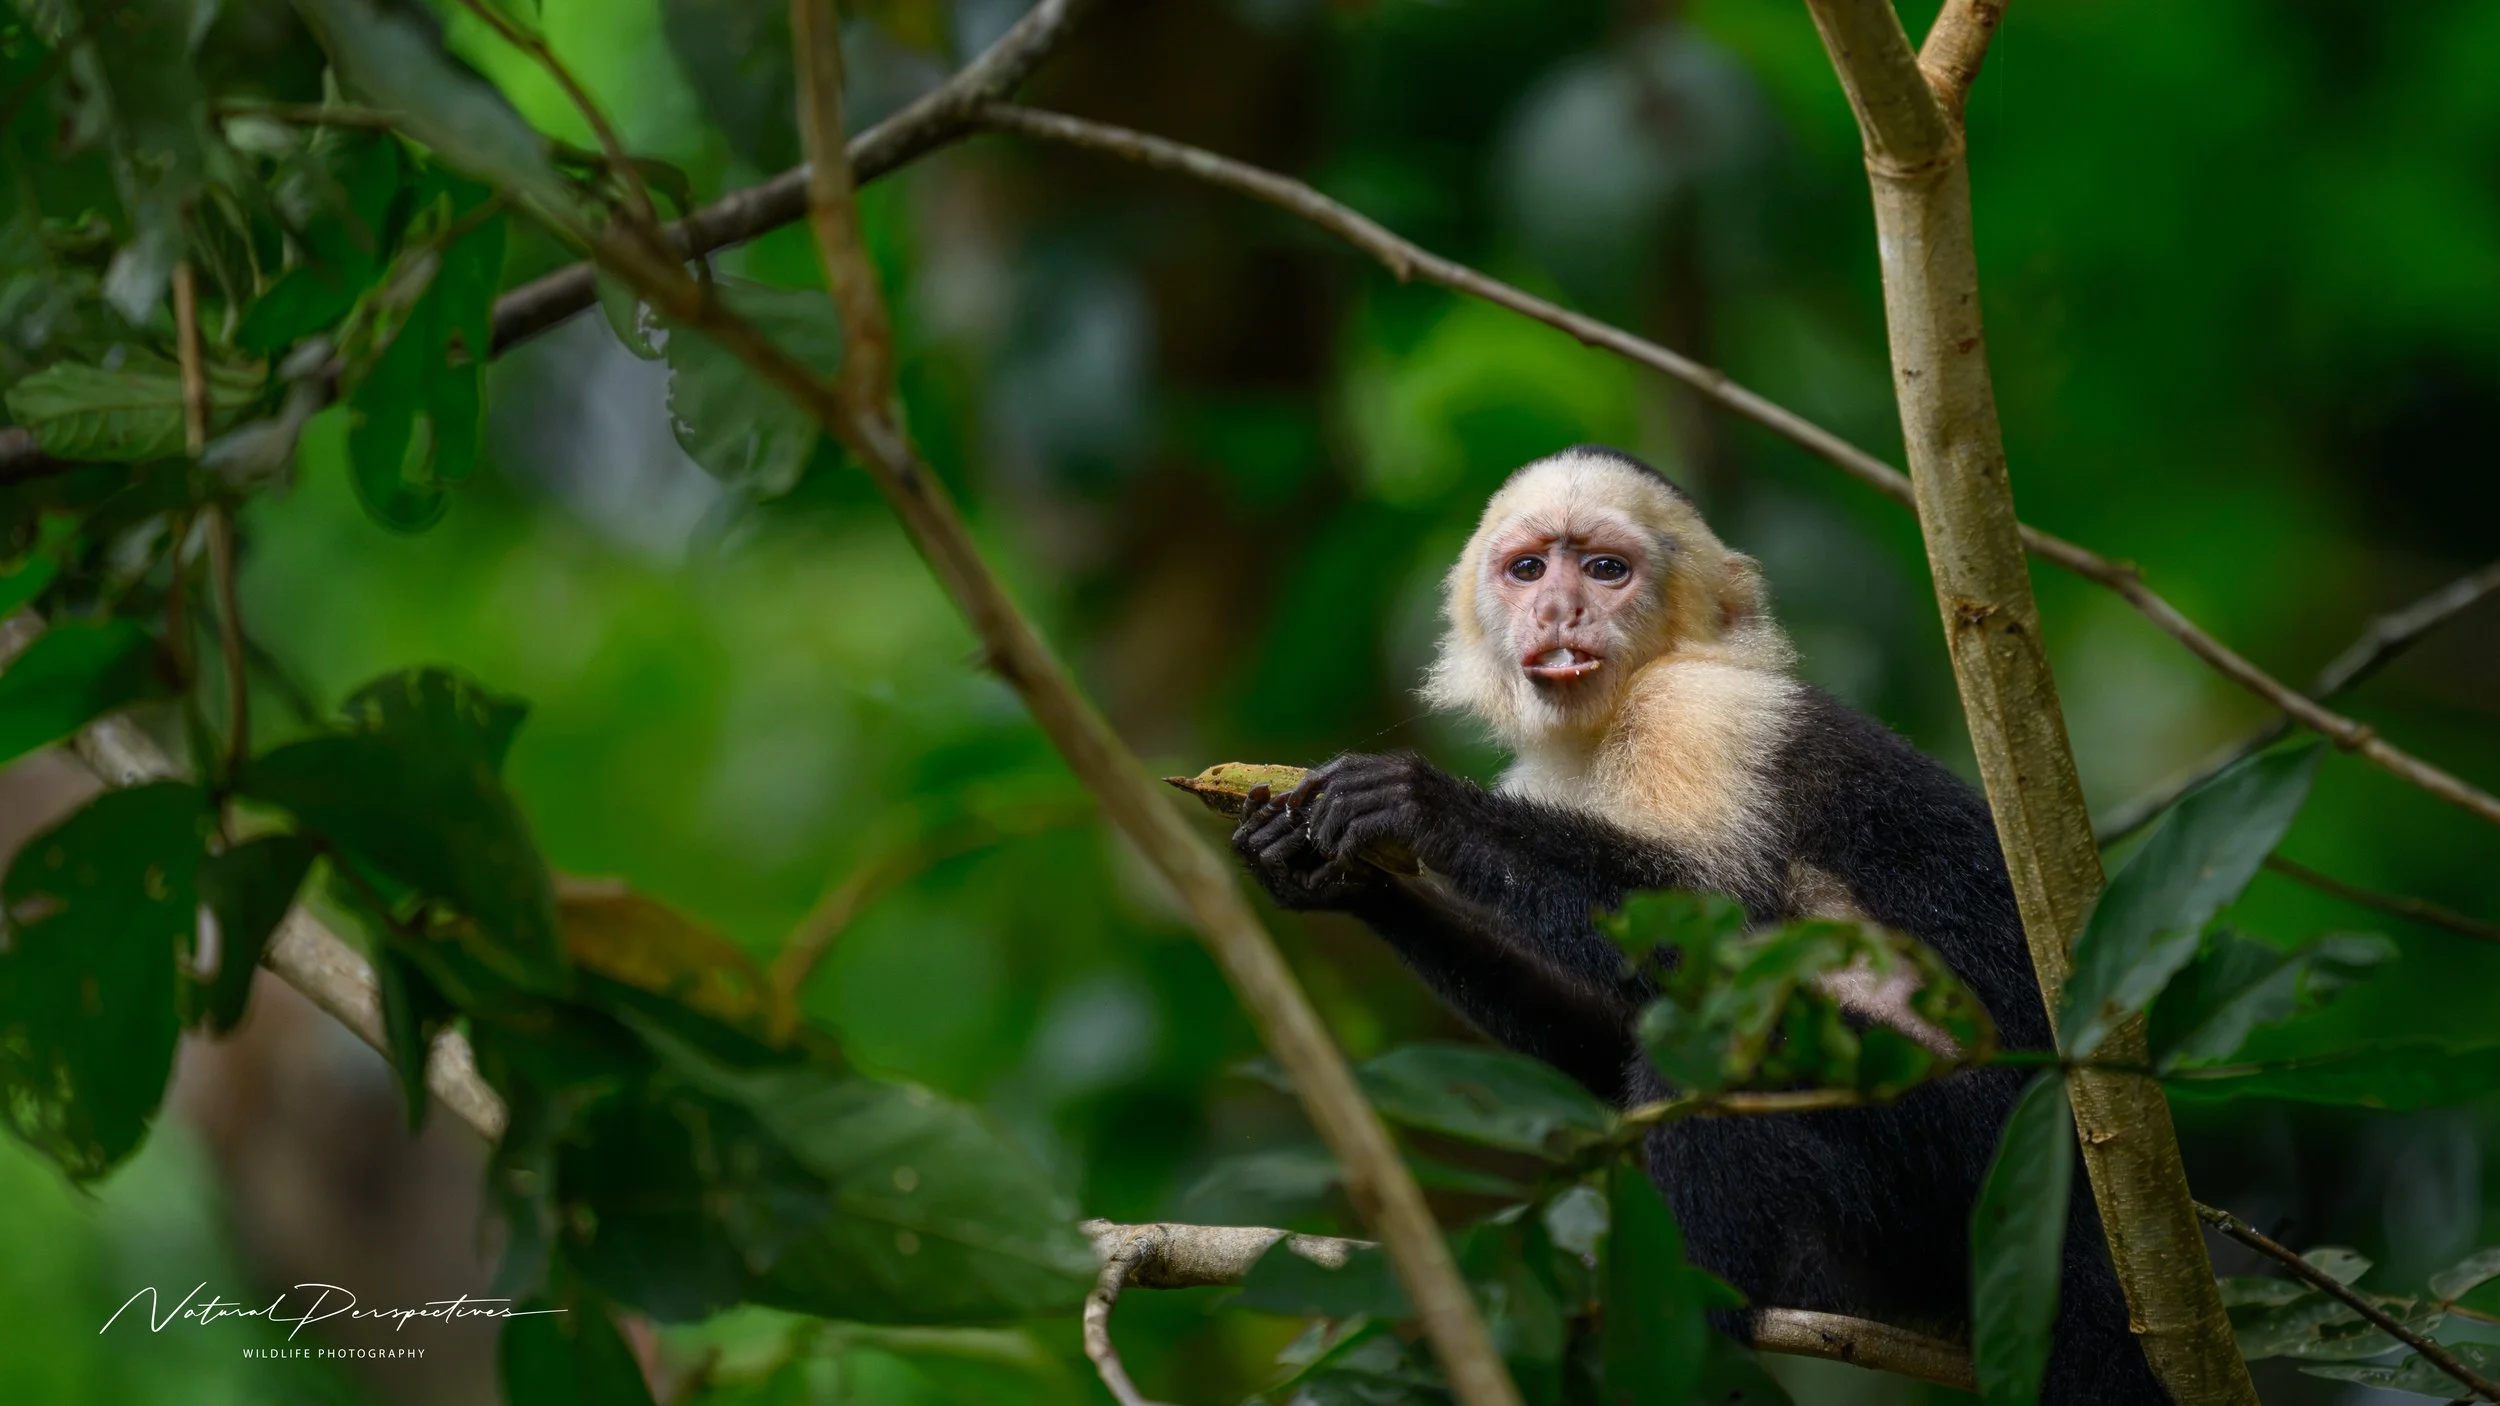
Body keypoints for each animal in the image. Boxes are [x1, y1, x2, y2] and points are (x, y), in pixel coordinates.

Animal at [1231, 446, 2167, 1404]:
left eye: (1606, 570)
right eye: (1527, 569)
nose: (1558, 610)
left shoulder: (1698, 715)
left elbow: (1718, 930)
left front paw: (1421, 807)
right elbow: (1611, 1027)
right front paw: (1334, 877)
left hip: (1971, 1148)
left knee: (1723, 1046)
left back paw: (1694, 1324)